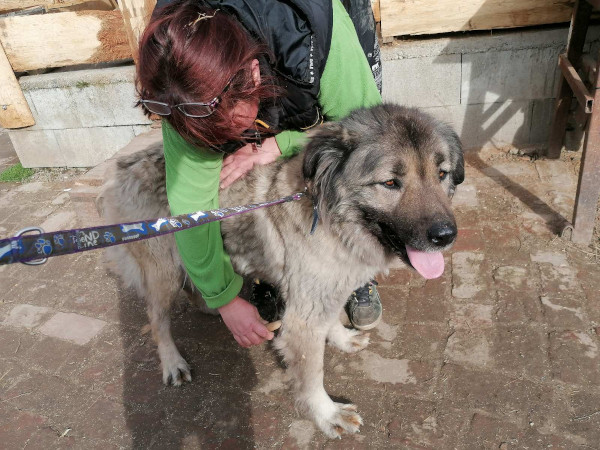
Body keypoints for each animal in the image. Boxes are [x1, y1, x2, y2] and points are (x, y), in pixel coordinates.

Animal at [97, 104, 464, 438]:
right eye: (390, 182)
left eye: (441, 174)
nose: (446, 236)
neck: (330, 216)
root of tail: (123, 165)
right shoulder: (303, 317)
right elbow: (312, 374)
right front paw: (327, 415)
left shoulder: (325, 289)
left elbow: (331, 320)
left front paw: (341, 338)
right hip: (164, 271)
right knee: (157, 319)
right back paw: (173, 362)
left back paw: (213, 305)